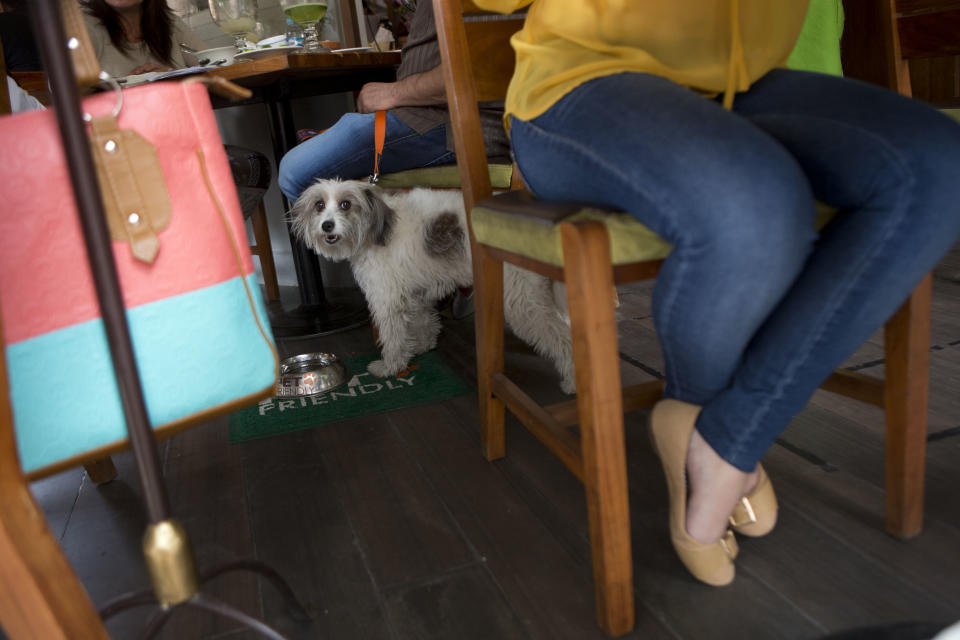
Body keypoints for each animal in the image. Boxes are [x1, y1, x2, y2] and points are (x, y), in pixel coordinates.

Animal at [292, 178, 572, 392]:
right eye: (319, 205)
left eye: (346, 204)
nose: (327, 225)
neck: (377, 229)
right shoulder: (416, 291)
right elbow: (424, 320)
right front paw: (423, 344)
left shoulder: (387, 298)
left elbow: (393, 337)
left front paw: (390, 366)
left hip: (522, 299)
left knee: (563, 339)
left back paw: (571, 382)